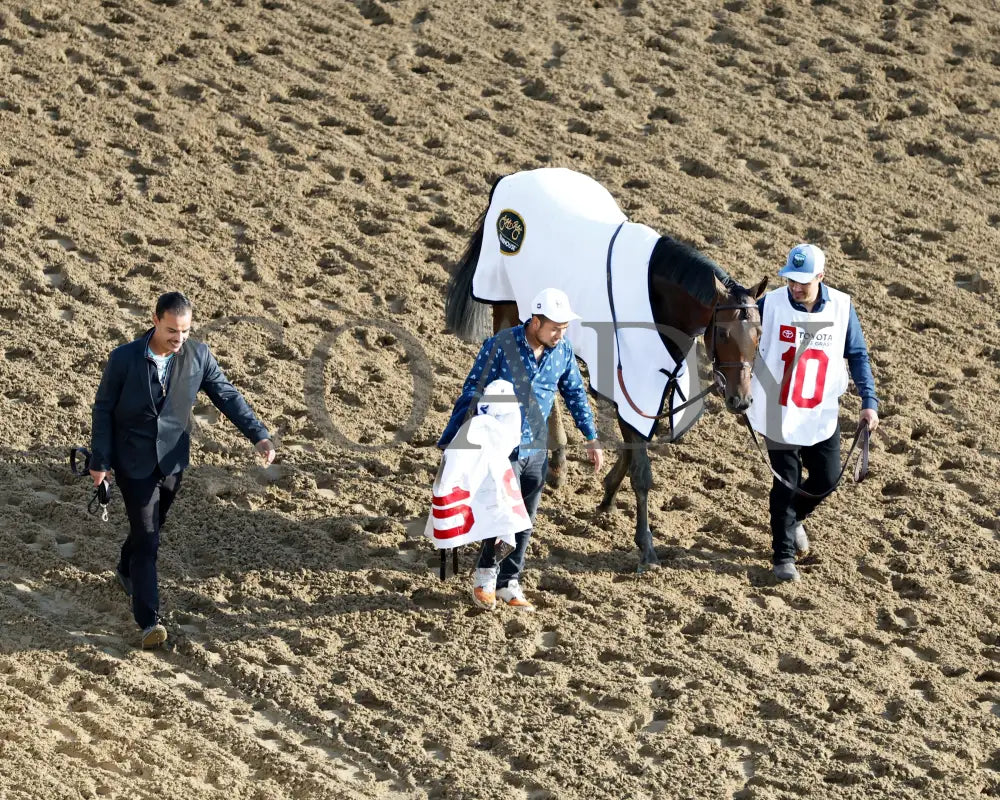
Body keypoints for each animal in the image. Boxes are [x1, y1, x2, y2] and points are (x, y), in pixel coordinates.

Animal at [446, 167, 764, 568]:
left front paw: (609, 493)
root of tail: (512, 178)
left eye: (760, 334)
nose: (741, 401)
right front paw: (646, 545)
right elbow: (642, 470)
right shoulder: (630, 383)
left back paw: (558, 464)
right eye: (722, 332)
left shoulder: (649, 387)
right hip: (509, 306)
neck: (659, 299)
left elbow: (632, 448)